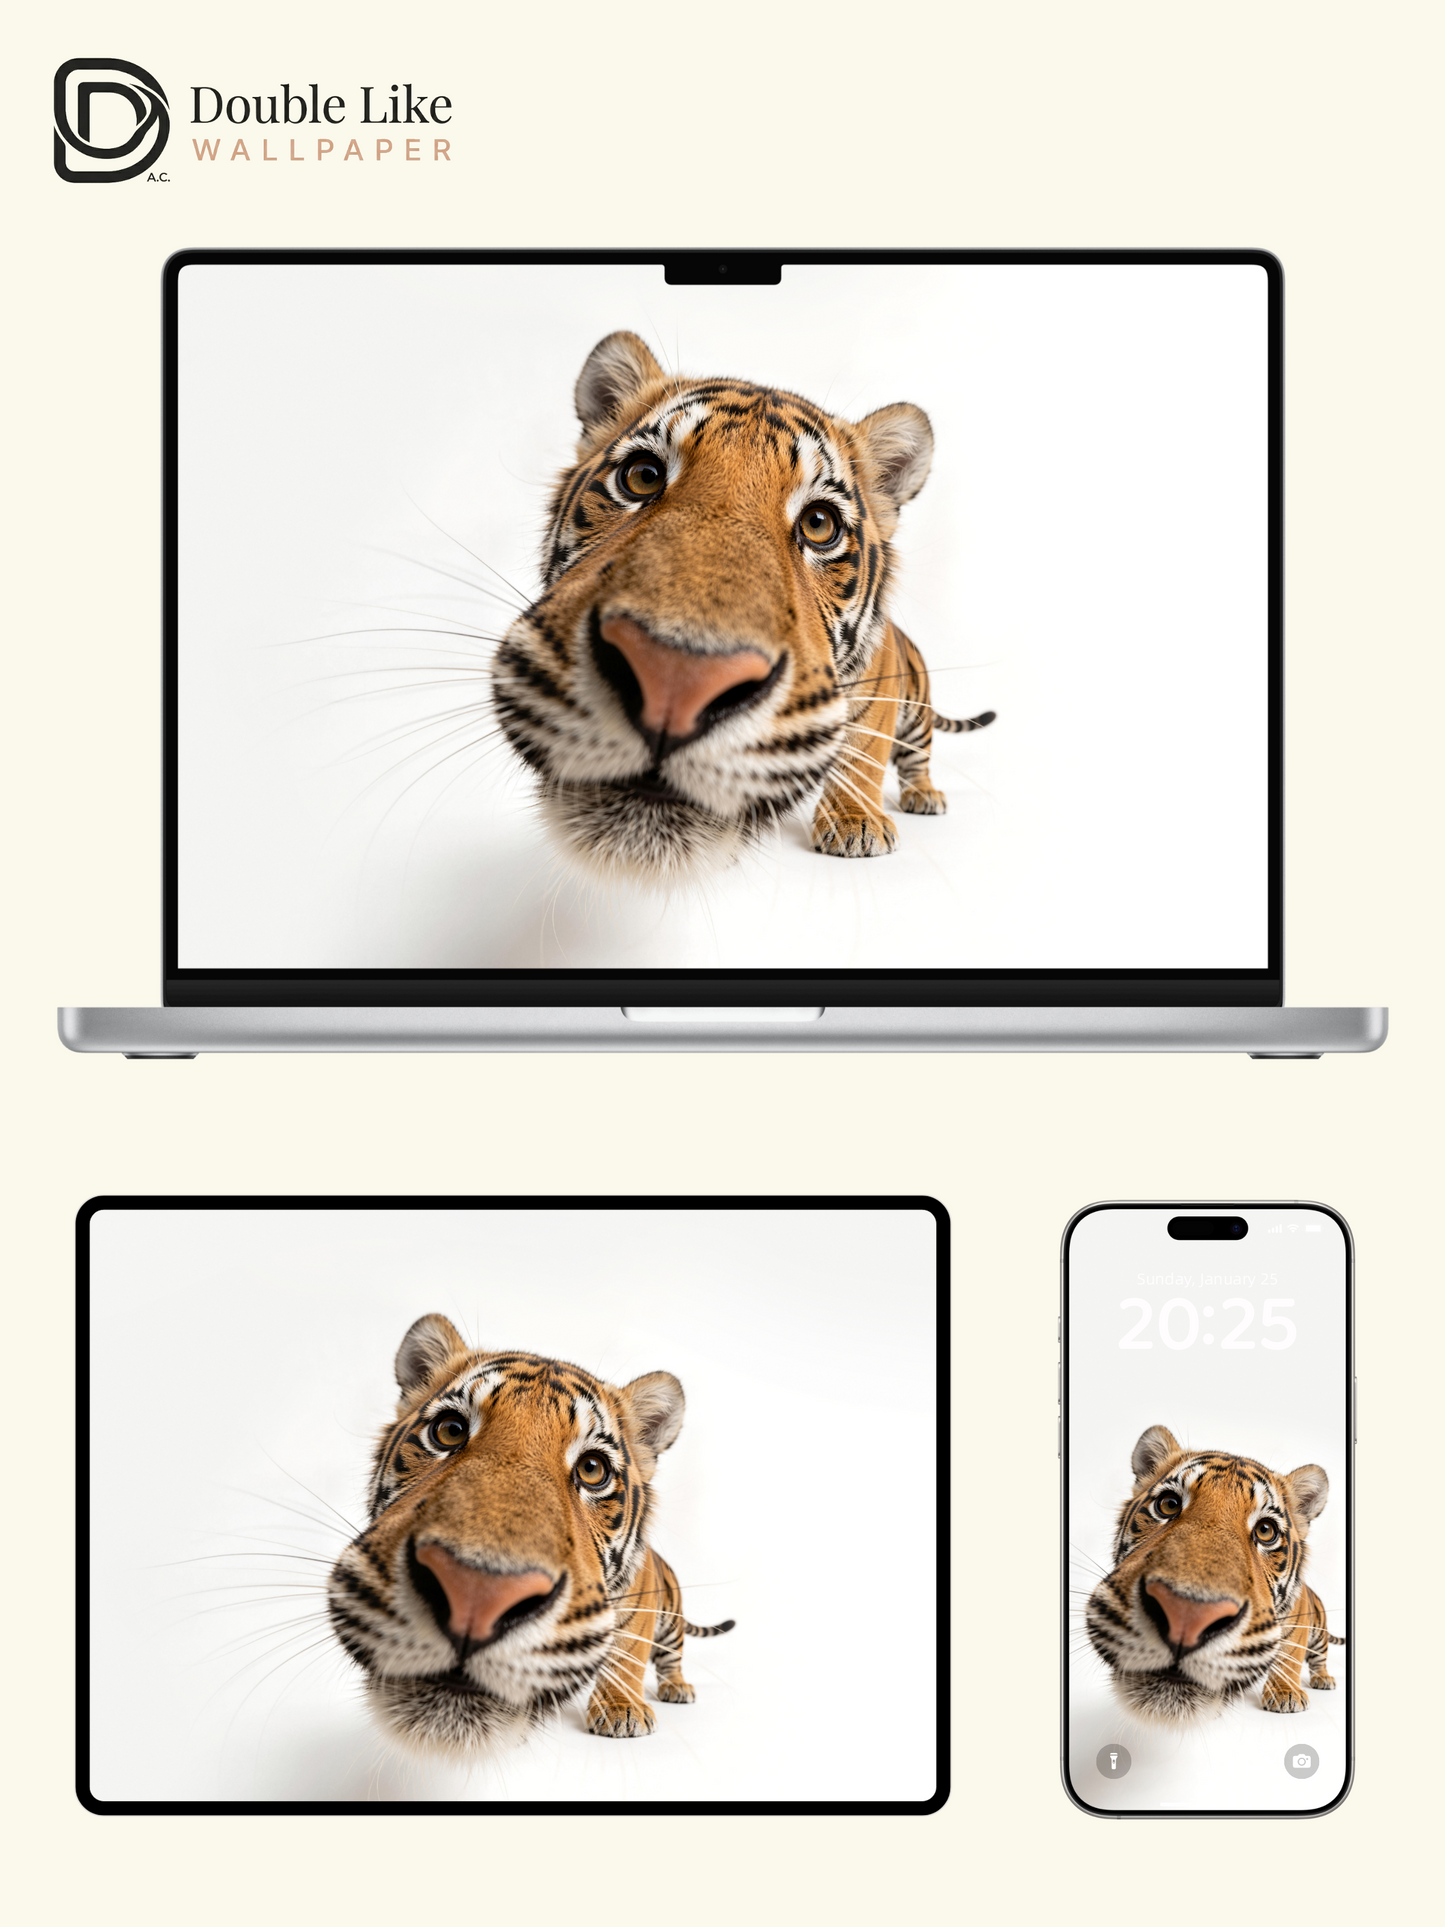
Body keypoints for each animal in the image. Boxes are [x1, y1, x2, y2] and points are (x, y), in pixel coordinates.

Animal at [326, 1313, 734, 1755]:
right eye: (450, 1430)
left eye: (592, 1470)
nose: (475, 1597)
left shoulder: (640, 1608)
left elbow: (627, 1656)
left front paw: (622, 1708)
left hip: (672, 1619)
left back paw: (677, 1688)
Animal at [490, 330, 995, 882]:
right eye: (642, 476)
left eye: (819, 525)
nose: (674, 683)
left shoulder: (878, 695)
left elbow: (862, 757)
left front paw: (856, 821)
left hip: (917, 711)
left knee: (917, 755)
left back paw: (924, 796)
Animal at [1084, 1424, 1344, 1725]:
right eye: (1169, 1504)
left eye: (1266, 1531)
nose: (1186, 1618)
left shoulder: (1298, 1624)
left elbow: (1289, 1657)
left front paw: (1285, 1692)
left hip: (1319, 1633)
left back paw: (1323, 1679)